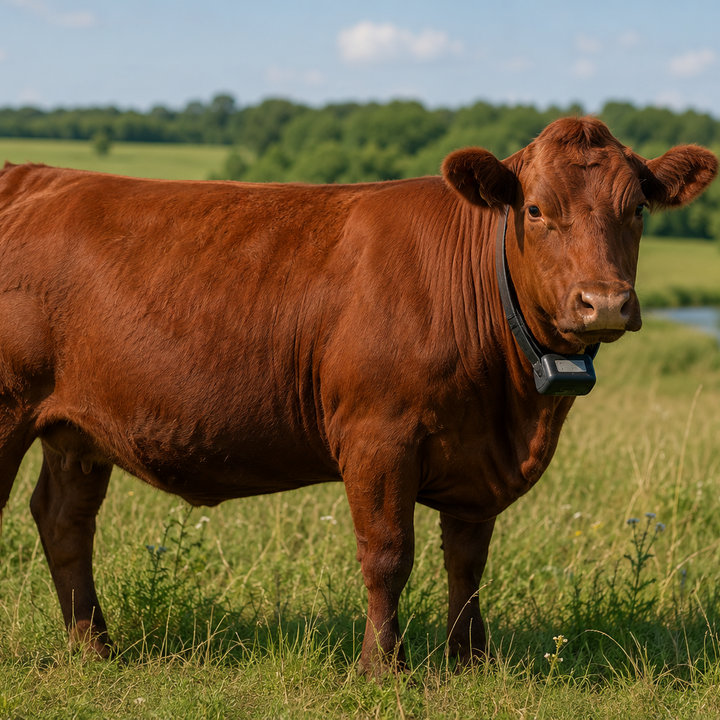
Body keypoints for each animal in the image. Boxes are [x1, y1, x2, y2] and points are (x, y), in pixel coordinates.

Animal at [0, 117, 716, 675]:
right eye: (536, 210)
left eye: (638, 209)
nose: (605, 303)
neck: (515, 408)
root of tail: (27, 173)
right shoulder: (380, 436)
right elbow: (388, 554)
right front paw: (383, 667)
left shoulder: (478, 458)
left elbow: (468, 561)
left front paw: (469, 660)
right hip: (11, 409)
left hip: (78, 430)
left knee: (63, 520)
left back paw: (94, 648)